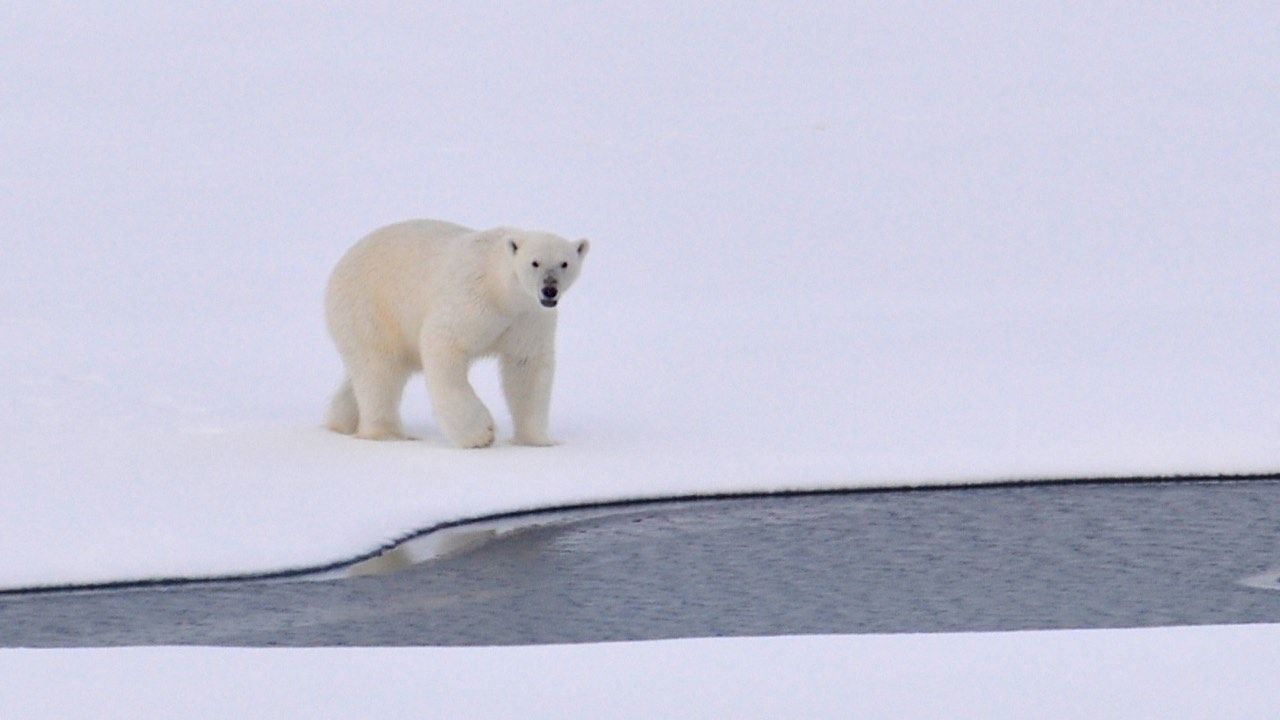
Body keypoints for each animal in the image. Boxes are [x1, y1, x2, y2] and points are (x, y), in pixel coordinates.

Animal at [327, 219, 591, 445]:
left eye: (565, 263)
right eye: (535, 262)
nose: (549, 290)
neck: (501, 289)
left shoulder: (528, 316)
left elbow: (526, 365)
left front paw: (537, 440)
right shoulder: (472, 297)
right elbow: (444, 342)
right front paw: (480, 434)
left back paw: (340, 422)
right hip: (370, 308)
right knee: (378, 369)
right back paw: (387, 433)